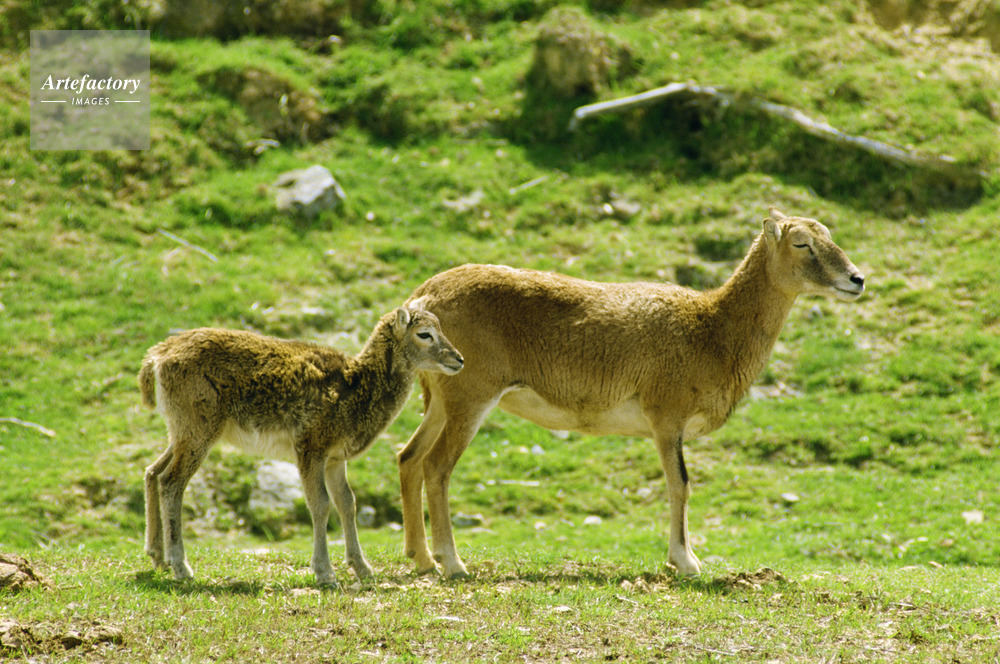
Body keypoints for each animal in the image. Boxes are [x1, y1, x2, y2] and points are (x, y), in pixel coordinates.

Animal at [138, 303, 464, 587]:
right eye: (424, 333)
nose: (459, 359)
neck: (357, 387)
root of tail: (155, 358)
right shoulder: (310, 447)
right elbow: (320, 504)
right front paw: (325, 574)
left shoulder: (336, 458)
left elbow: (347, 503)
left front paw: (363, 569)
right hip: (198, 429)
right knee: (171, 481)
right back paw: (181, 567)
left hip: (183, 430)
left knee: (153, 470)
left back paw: (158, 557)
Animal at [397, 207, 865, 578]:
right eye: (802, 243)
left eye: (829, 234)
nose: (856, 279)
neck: (711, 329)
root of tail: (424, 297)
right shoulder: (666, 417)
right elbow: (680, 484)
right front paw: (686, 562)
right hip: (471, 396)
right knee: (437, 466)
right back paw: (453, 563)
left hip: (440, 401)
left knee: (409, 458)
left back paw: (422, 559)